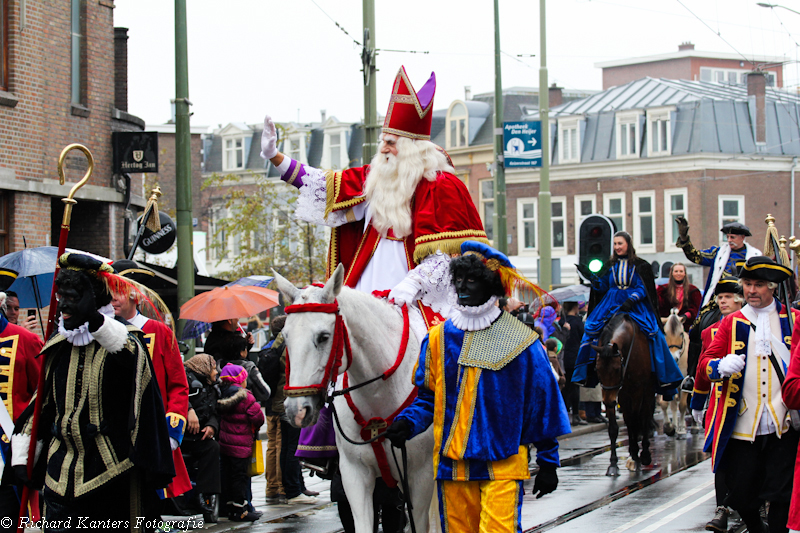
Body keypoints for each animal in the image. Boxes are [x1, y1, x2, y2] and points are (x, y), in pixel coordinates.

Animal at [592, 312, 656, 474]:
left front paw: (638, 456)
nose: (608, 402)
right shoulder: (617, 393)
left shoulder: (637, 390)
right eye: (597, 369)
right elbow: (615, 427)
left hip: (647, 391)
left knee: (645, 417)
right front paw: (614, 464)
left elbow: (635, 420)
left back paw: (644, 454)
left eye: (616, 369)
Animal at [660, 310, 692, 438]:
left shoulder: (685, 382)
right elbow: (665, 404)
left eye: (681, 334)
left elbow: (682, 405)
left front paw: (681, 429)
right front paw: (668, 427)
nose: (674, 358)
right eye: (665, 333)